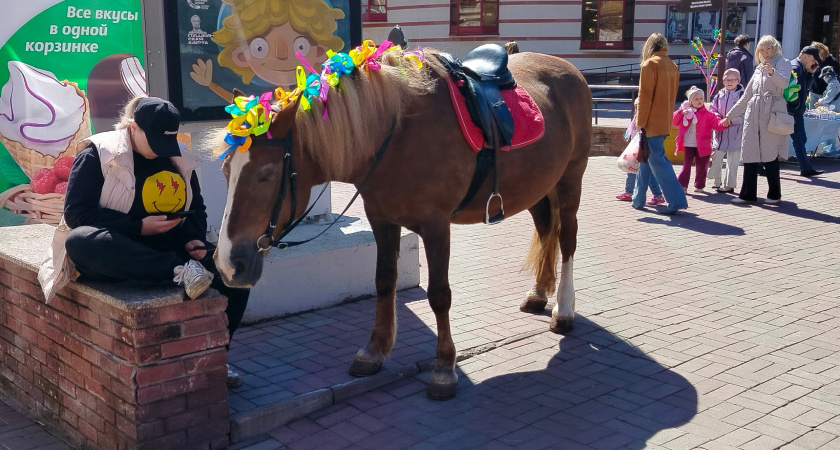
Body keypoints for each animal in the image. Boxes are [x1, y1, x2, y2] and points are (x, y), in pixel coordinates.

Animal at [212, 47, 592, 400]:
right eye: (226, 171)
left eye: (266, 174)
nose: (229, 264)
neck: (395, 133)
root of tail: (569, 69)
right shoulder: (382, 220)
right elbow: (383, 281)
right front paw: (374, 351)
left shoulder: (436, 226)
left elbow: (439, 295)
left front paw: (444, 367)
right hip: (538, 186)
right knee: (546, 229)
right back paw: (539, 293)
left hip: (570, 179)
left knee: (568, 239)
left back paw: (564, 309)